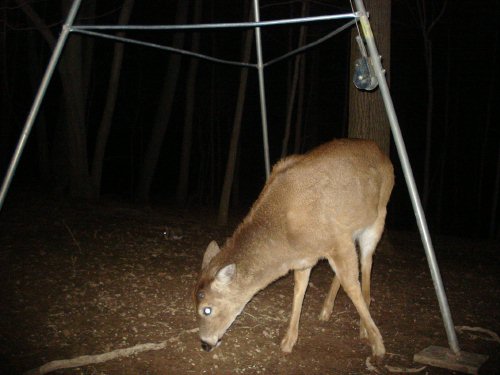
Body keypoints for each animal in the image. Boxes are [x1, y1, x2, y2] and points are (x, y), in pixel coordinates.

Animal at [193, 138, 392, 358]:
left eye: (207, 309)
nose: (205, 344)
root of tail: (383, 154)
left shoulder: (337, 240)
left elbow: (352, 286)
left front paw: (378, 345)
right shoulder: (306, 257)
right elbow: (299, 290)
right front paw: (288, 341)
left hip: (378, 217)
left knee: (366, 263)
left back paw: (363, 326)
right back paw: (326, 310)